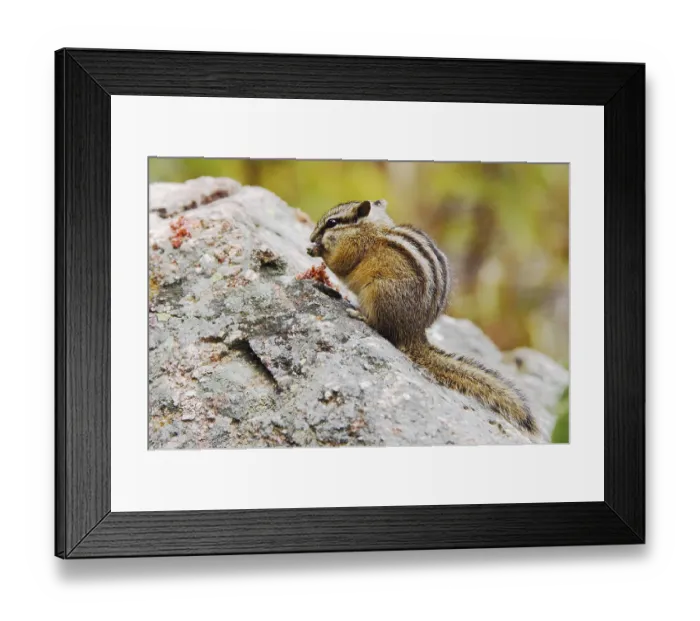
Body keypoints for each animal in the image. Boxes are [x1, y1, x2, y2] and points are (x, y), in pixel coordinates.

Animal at [307, 199, 538, 434]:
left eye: (332, 223)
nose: (312, 237)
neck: (370, 228)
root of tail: (414, 332)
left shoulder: (352, 249)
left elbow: (340, 263)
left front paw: (316, 250)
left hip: (377, 293)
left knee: (380, 326)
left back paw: (361, 315)